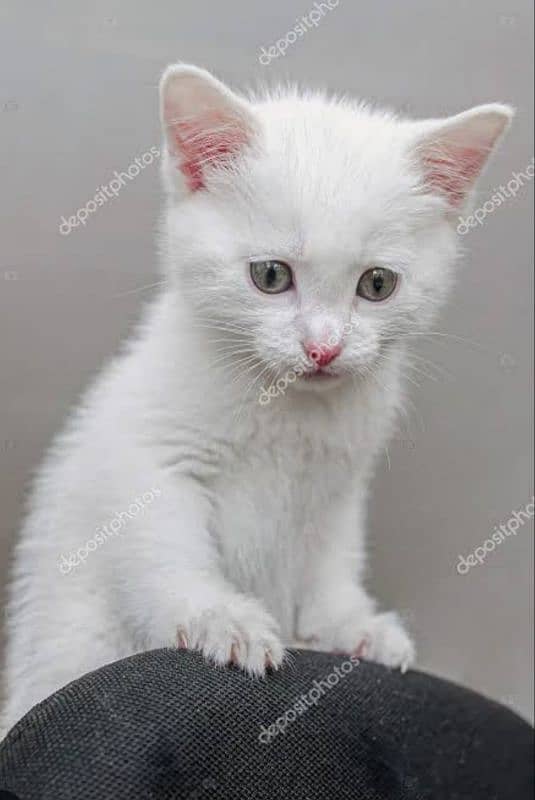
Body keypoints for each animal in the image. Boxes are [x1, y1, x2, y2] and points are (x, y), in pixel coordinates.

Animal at [0, 64, 512, 736]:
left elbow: (330, 560)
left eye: (377, 284)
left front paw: (349, 623)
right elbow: (163, 548)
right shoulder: (151, 454)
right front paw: (221, 618)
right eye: (271, 275)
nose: (323, 347)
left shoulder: (339, 488)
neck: (286, 411)